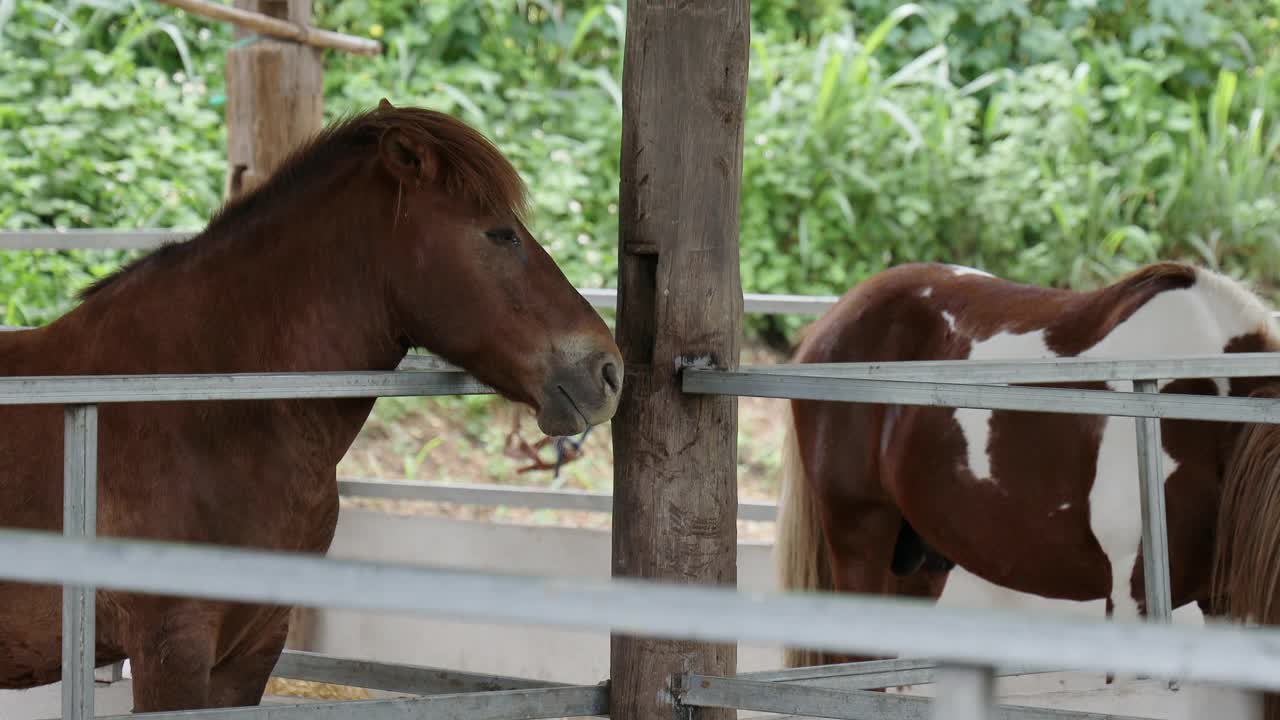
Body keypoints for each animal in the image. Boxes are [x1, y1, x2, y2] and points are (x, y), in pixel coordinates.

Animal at [778, 260, 1280, 702]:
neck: (1204, 416)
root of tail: (831, 322)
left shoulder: (1225, 597)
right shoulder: (1132, 600)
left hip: (917, 560)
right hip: (859, 535)